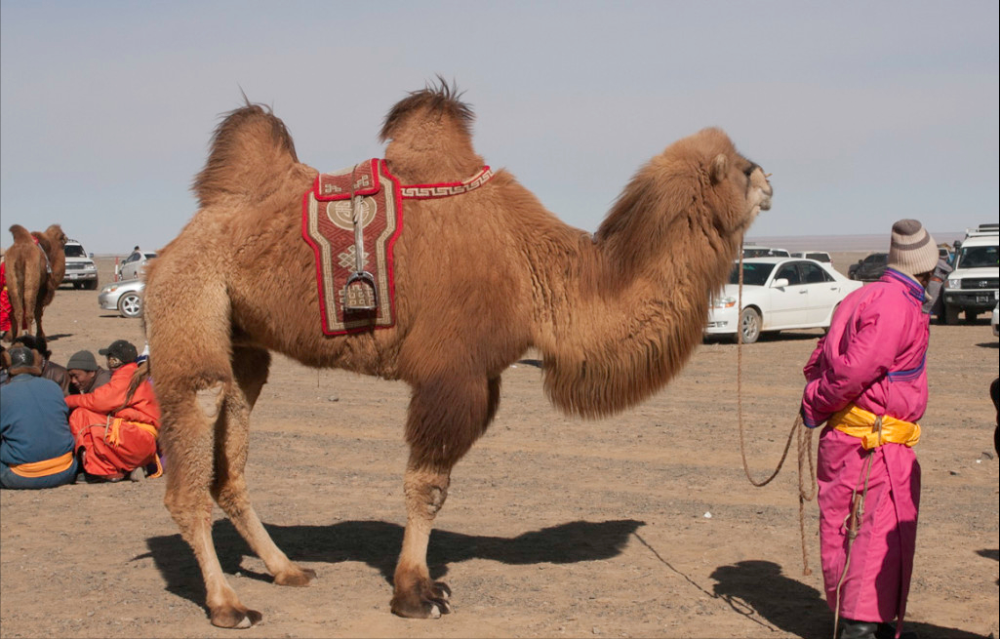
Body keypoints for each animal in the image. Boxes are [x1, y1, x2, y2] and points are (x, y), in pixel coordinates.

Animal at [145, 82, 776, 628]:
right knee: (194, 437)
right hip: (187, 304)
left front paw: (425, 585)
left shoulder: (482, 377)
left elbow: (437, 486)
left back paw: (286, 570)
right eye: (742, 168)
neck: (536, 273)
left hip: (244, 344)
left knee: (232, 451)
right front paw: (414, 595)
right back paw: (228, 606)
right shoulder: (453, 374)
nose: (772, 181)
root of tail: (177, 242)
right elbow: (427, 487)